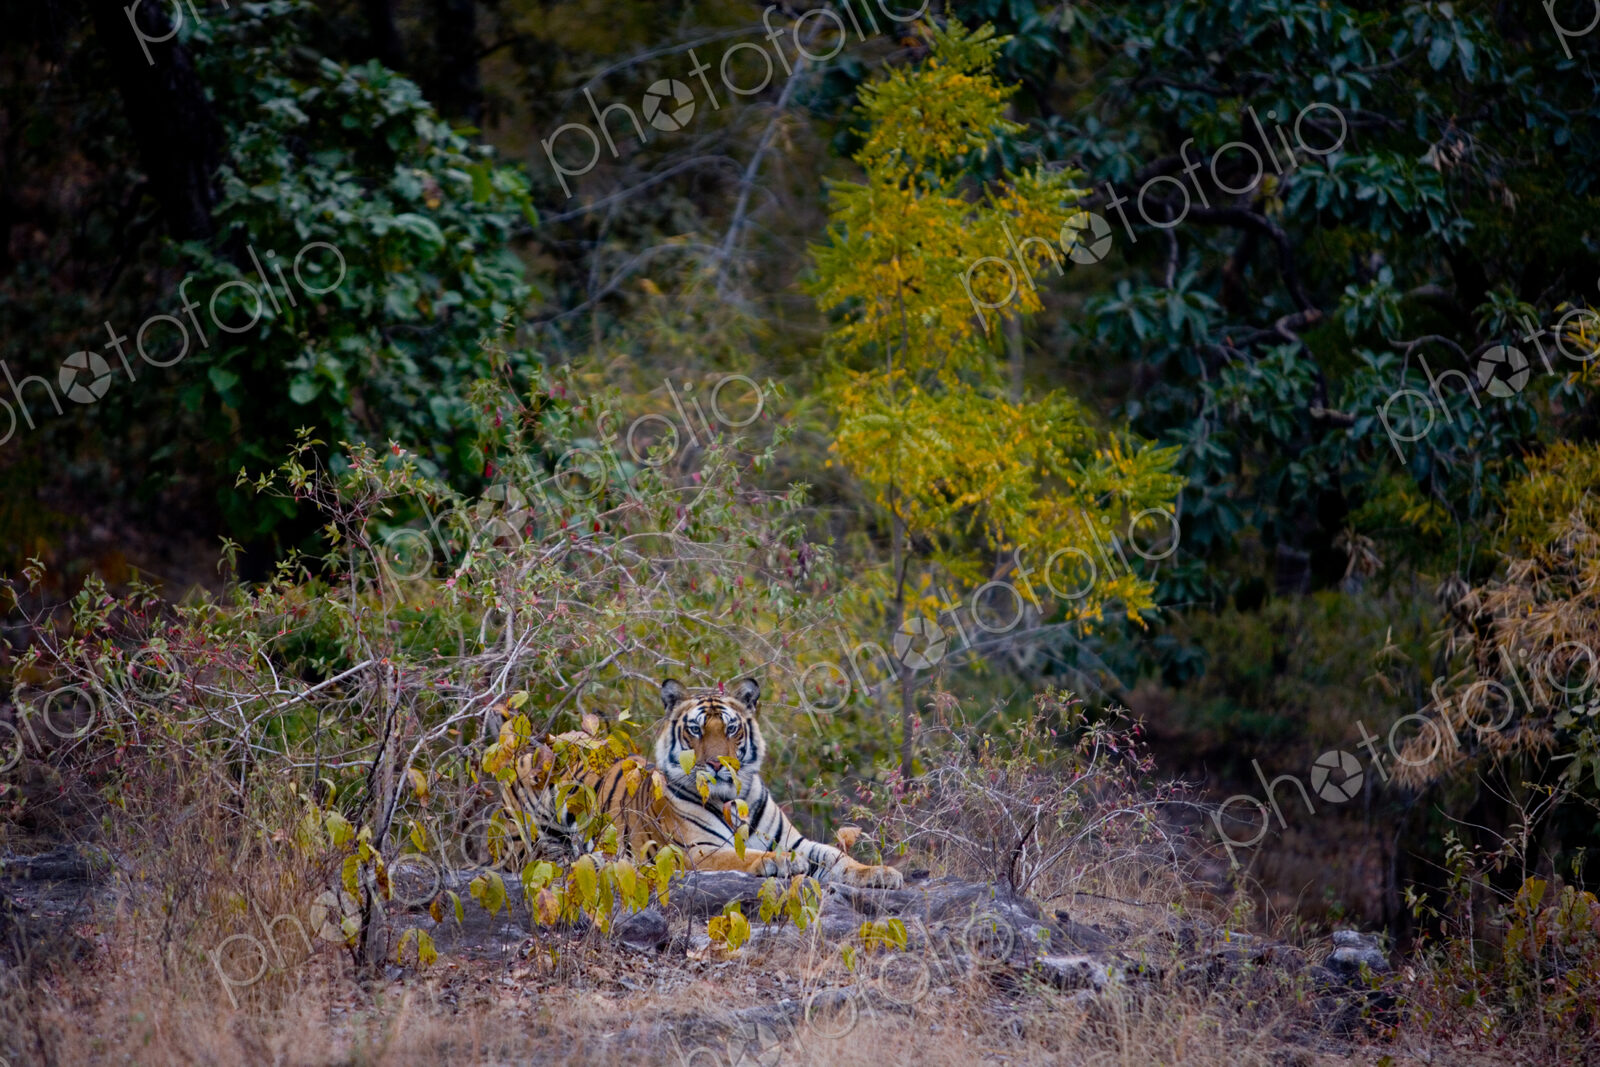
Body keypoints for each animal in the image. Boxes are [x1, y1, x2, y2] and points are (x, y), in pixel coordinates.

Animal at [497, 677, 903, 888]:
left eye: (731, 728)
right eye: (695, 730)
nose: (717, 764)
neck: (732, 797)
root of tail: (537, 742)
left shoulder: (794, 839)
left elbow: (836, 855)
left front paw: (881, 873)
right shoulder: (694, 851)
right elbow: (742, 855)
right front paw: (779, 863)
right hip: (522, 841)